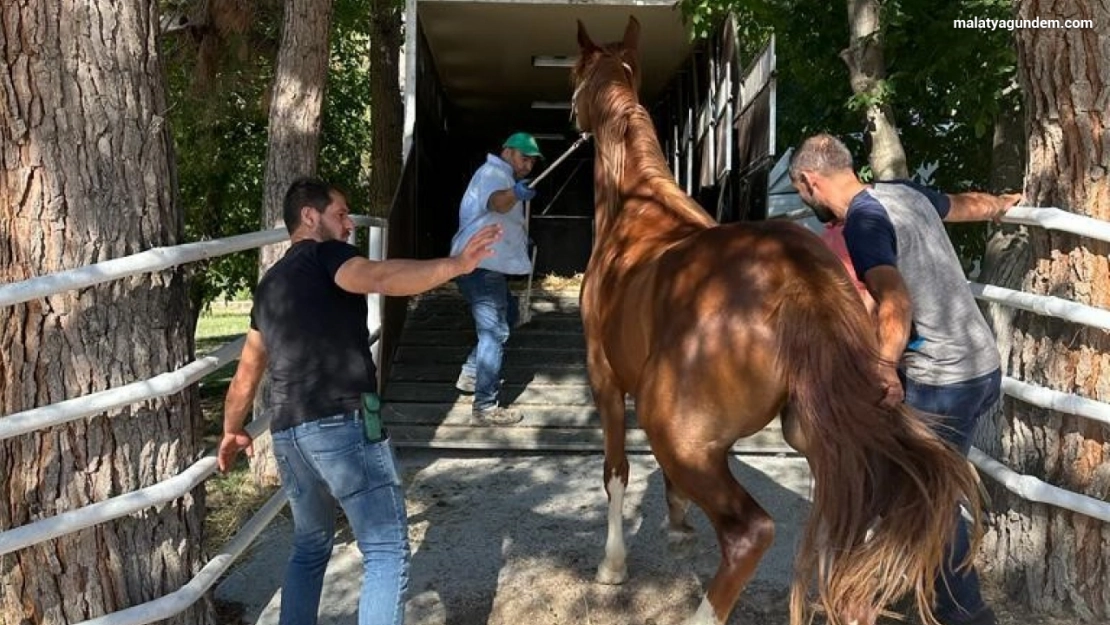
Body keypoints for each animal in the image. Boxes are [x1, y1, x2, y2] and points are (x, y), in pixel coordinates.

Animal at [572, 17, 981, 625]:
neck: (637, 206)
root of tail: (796, 279)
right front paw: (677, 527)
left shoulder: (604, 378)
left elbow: (616, 472)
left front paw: (612, 566)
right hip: (818, 433)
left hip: (681, 431)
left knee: (751, 533)